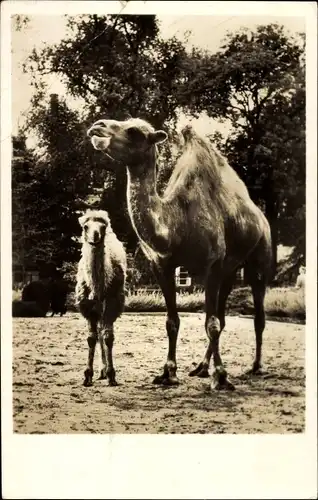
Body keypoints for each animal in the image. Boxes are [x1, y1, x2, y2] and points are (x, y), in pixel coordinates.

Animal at [87, 118, 274, 390]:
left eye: (134, 131)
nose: (97, 127)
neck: (177, 224)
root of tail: (261, 217)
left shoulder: (212, 265)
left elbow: (211, 324)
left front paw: (221, 376)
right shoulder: (162, 267)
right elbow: (173, 322)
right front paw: (168, 372)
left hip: (259, 257)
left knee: (257, 314)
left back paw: (256, 366)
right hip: (229, 270)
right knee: (222, 315)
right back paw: (202, 367)